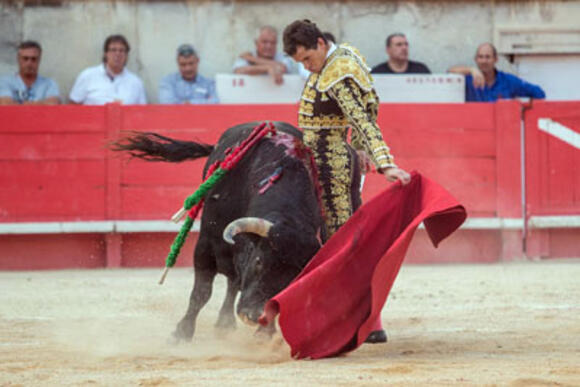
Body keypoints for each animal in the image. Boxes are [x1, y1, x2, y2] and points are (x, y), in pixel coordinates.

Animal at [112, 121, 362, 342]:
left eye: (293, 277)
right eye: (259, 261)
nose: (253, 316)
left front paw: (265, 333)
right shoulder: (206, 244)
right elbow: (201, 293)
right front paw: (181, 333)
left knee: (233, 282)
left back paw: (225, 322)